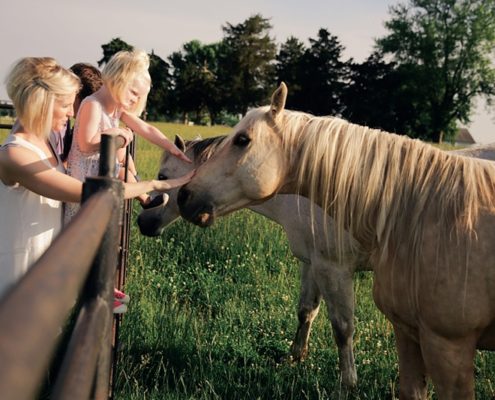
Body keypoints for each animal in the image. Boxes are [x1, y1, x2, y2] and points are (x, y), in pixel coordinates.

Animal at [178, 83, 495, 398]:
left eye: (242, 140)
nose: (184, 196)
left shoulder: (335, 269)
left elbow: (342, 328)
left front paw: (348, 382)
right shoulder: (313, 264)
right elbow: (306, 311)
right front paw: (296, 355)